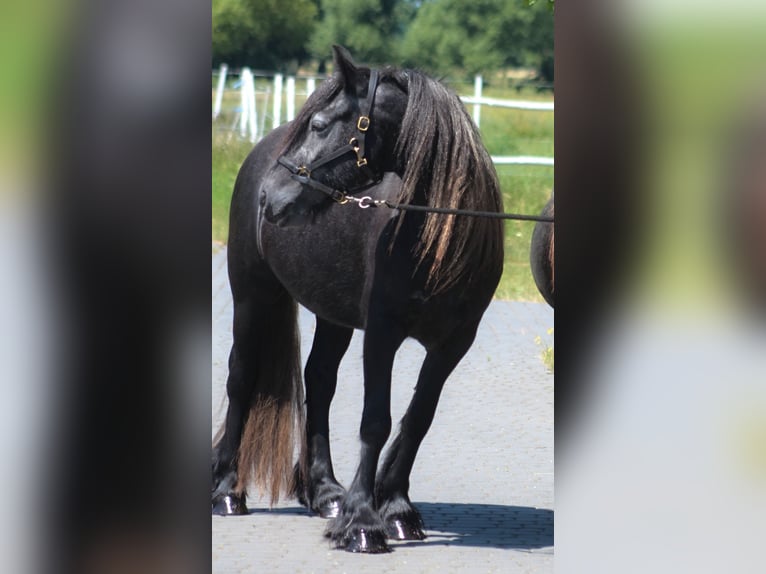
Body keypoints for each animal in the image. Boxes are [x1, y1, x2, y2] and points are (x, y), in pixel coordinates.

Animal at [212, 46, 504, 553]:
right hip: (252, 298)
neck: (437, 234)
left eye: (319, 125)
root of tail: (258, 156)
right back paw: (229, 490)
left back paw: (326, 492)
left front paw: (395, 508)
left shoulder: (454, 344)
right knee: (241, 378)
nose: (271, 197)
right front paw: (363, 523)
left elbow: (417, 419)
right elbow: (375, 421)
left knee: (319, 382)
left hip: (334, 317)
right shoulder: (382, 334)